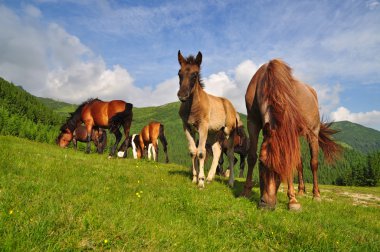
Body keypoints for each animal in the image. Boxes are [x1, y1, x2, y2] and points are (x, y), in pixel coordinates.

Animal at [177, 50, 238, 187]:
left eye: (195, 74)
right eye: (179, 73)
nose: (182, 95)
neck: (193, 107)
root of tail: (231, 106)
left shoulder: (202, 126)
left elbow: (201, 152)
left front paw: (200, 182)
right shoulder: (187, 126)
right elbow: (193, 151)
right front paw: (195, 178)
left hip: (228, 132)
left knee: (230, 155)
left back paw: (230, 182)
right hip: (213, 133)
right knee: (217, 151)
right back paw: (210, 178)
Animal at [242, 58, 342, 209]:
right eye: (261, 163)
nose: (266, 204)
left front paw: (292, 201)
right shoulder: (252, 122)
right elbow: (252, 156)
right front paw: (246, 191)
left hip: (313, 133)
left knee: (313, 163)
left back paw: (316, 195)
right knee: (299, 163)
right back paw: (300, 191)